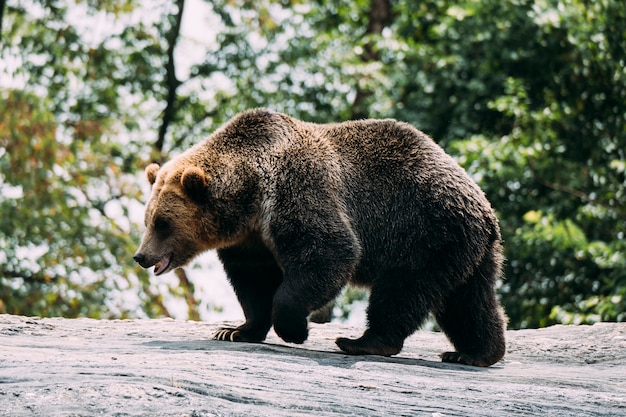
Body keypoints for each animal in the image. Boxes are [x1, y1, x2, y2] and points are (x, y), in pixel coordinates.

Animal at [134, 109, 504, 366]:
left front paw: (294, 330)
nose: (141, 256)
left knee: (403, 289)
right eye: (147, 219)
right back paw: (476, 352)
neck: (250, 199)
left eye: (163, 223)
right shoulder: (250, 241)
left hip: (422, 229)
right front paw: (234, 330)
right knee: (468, 299)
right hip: (465, 247)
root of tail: (483, 204)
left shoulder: (296, 190)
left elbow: (329, 252)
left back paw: (363, 341)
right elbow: (253, 283)